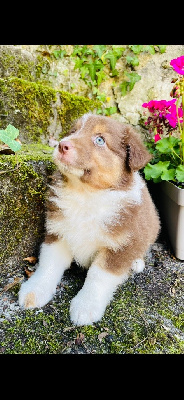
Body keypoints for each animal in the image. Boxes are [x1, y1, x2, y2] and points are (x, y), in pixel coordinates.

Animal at [18, 112, 160, 324]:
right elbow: (48, 263)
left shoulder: (121, 245)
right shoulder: (58, 231)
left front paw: (86, 306)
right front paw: (34, 290)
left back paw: (136, 263)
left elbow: (98, 275)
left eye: (100, 140)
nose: (62, 145)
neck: (85, 194)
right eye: (73, 131)